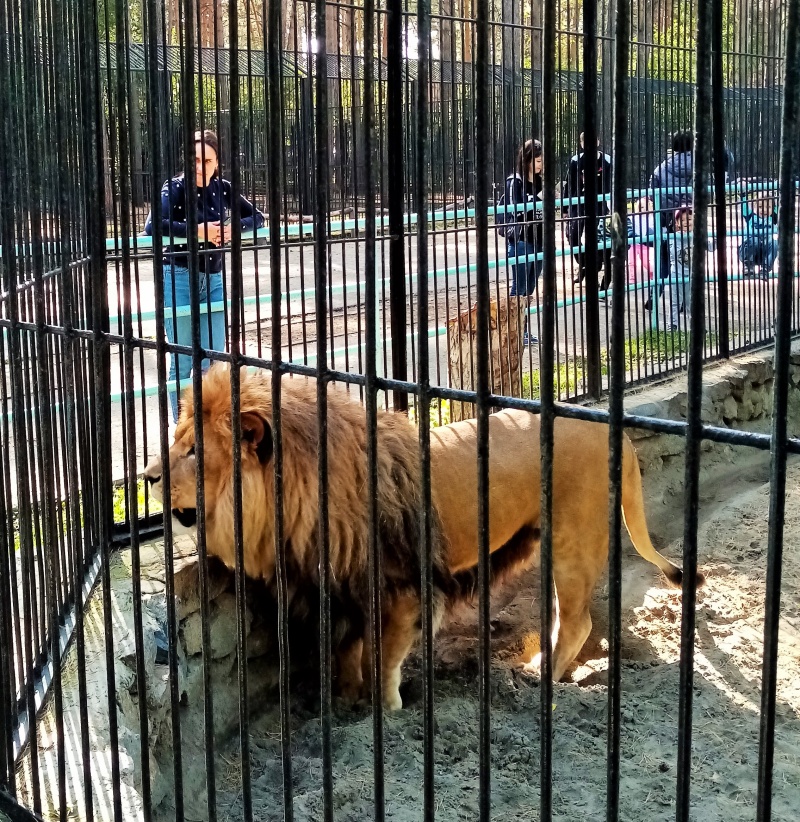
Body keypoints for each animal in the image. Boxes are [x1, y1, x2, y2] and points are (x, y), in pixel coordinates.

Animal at [144, 365, 700, 710]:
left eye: (193, 452)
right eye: (176, 443)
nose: (146, 477)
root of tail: (611, 426)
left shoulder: (402, 590)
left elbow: (384, 656)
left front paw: (387, 707)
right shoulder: (343, 594)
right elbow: (349, 653)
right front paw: (348, 700)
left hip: (574, 541)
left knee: (579, 620)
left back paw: (541, 675)